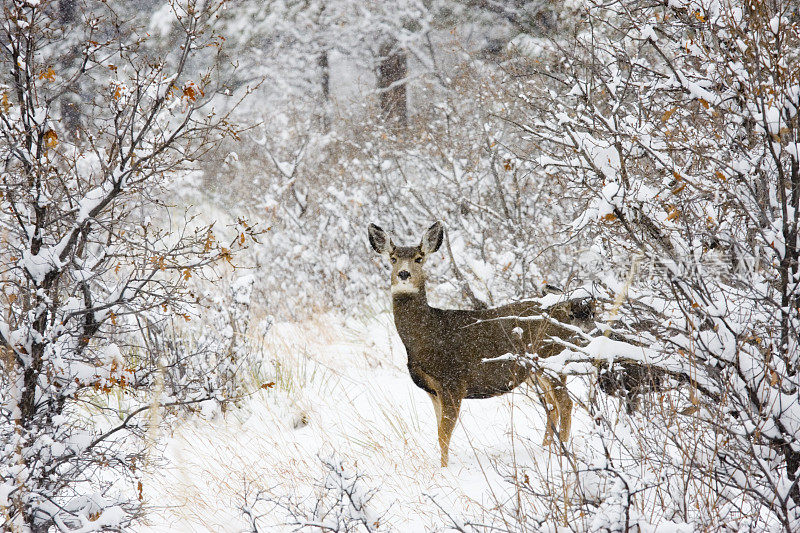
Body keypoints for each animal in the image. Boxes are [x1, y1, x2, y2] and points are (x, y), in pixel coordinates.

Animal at [368, 220, 592, 466]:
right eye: (393, 258)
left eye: (419, 258)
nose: (404, 273)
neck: (427, 335)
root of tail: (563, 309)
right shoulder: (432, 390)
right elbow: (439, 432)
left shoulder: (454, 381)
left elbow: (444, 434)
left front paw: (444, 469)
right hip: (537, 368)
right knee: (552, 406)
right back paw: (546, 449)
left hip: (552, 358)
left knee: (565, 403)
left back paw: (562, 453)